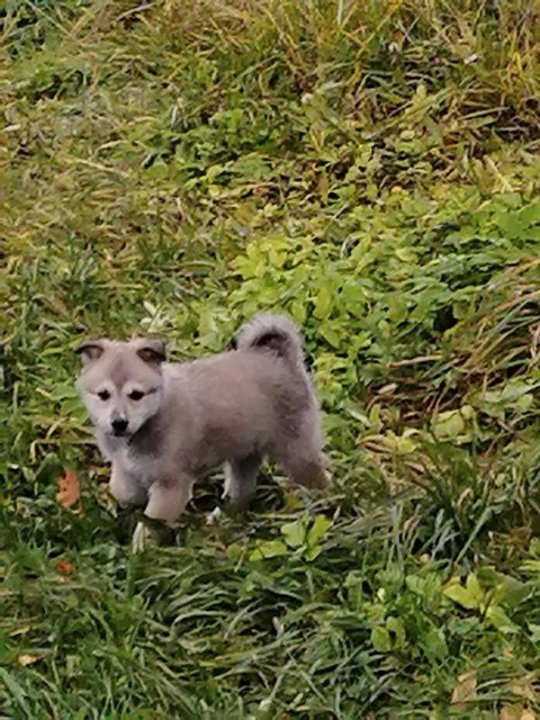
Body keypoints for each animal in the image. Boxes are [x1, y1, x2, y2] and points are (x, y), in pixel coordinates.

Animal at [76, 314, 326, 536]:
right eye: (103, 394)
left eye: (136, 395)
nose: (119, 423)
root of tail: (281, 357)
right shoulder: (125, 470)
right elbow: (123, 492)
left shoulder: (170, 485)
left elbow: (150, 524)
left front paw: (140, 550)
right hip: (244, 453)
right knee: (242, 487)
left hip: (296, 451)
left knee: (318, 478)